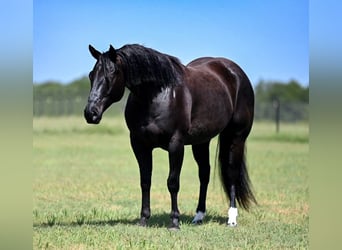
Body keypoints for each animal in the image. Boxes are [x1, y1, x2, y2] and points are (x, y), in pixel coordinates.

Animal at [84, 43, 255, 229]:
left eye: (112, 73)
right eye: (91, 75)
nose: (90, 113)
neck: (156, 96)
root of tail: (235, 72)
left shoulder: (176, 144)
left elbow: (173, 182)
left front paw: (174, 221)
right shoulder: (139, 144)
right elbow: (145, 181)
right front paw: (143, 219)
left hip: (237, 137)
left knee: (231, 173)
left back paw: (232, 219)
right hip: (201, 141)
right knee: (204, 174)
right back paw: (198, 216)